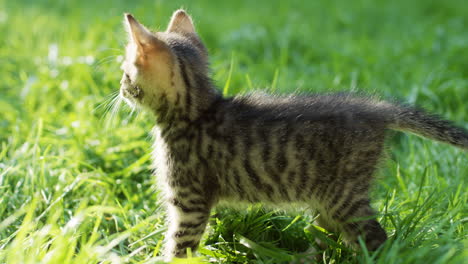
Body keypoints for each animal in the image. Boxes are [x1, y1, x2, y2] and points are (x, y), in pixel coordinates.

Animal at [119, 9, 468, 260]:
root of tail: (376, 107)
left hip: (345, 196)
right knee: (327, 234)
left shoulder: (189, 201)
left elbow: (179, 245)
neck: (195, 111)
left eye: (126, 73)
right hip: (328, 196)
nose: (120, 89)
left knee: (376, 240)